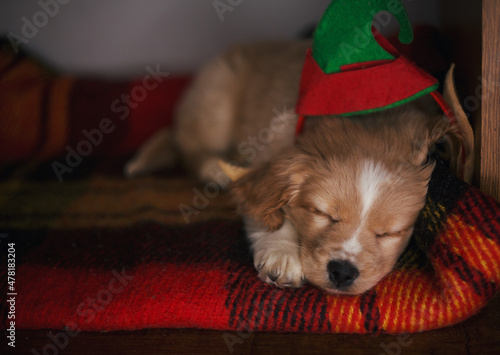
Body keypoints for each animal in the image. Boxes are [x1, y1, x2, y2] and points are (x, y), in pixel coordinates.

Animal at [125, 39, 468, 294]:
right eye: (323, 214)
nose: (342, 271)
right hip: (215, 100)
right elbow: (270, 209)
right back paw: (216, 169)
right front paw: (282, 255)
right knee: (190, 149)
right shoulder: (269, 153)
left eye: (389, 233)